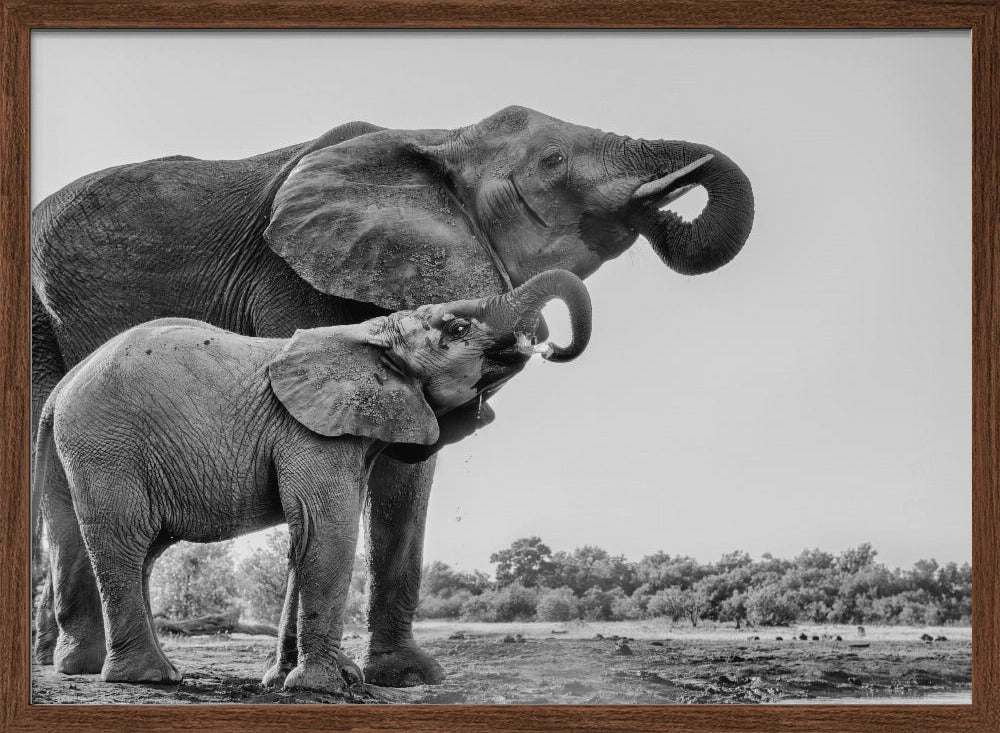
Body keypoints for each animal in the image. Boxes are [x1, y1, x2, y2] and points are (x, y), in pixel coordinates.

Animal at [34, 269, 591, 691]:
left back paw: (104, 669)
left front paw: (286, 681)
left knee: (120, 548)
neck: (370, 334)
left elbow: (305, 541)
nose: (551, 346)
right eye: (454, 326)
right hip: (107, 447)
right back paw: (152, 678)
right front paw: (324, 687)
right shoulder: (309, 430)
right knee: (125, 543)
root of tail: (62, 387)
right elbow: (328, 531)